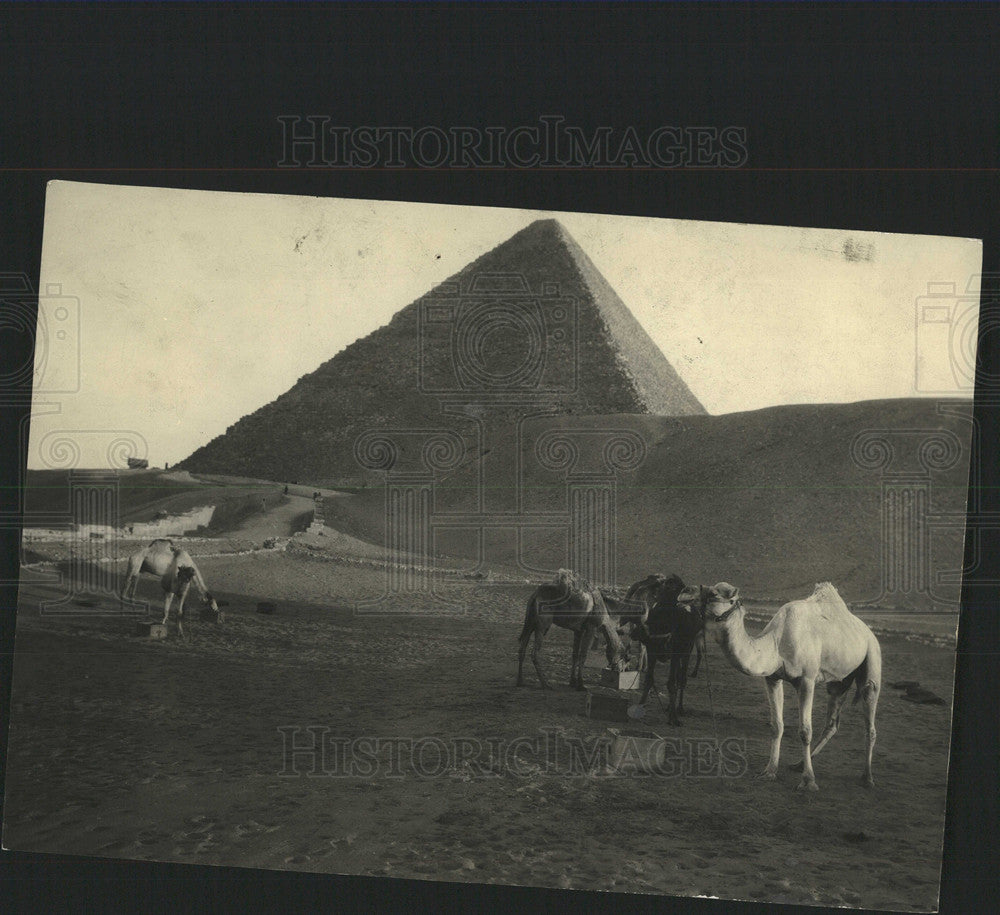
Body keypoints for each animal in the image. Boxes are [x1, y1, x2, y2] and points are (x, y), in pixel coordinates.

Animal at [692, 584, 880, 792]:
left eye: (713, 594)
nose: (684, 596)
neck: (777, 643)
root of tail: (868, 632)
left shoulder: (807, 679)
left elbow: (805, 731)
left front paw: (808, 781)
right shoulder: (772, 678)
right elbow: (776, 726)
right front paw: (769, 771)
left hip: (872, 657)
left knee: (870, 716)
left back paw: (868, 778)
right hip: (839, 681)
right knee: (831, 723)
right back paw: (799, 764)